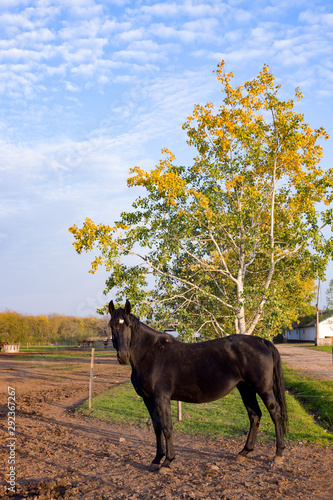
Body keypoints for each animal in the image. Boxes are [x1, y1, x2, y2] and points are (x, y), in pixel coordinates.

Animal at [107, 300, 286, 472]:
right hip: (246, 389)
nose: (123, 356)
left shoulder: (161, 398)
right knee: (254, 415)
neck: (151, 354)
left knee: (275, 414)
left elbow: (167, 428)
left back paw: (278, 454)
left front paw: (167, 462)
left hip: (263, 389)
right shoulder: (148, 399)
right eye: (112, 326)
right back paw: (244, 452)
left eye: (128, 325)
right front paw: (156, 460)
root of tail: (262, 341)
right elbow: (157, 428)